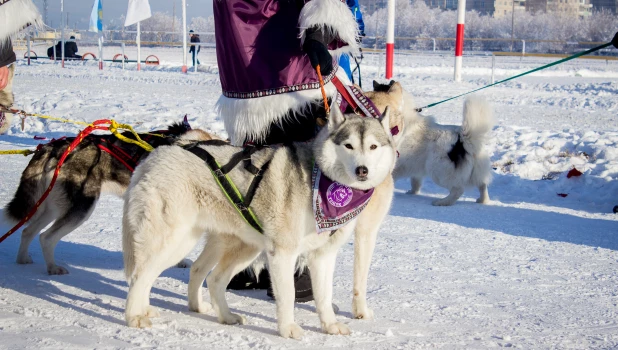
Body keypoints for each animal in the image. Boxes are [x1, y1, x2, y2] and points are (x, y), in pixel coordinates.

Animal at [3, 121, 215, 274]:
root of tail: (53, 147)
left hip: (52, 207)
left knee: (27, 231)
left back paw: (22, 259)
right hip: (81, 208)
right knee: (46, 237)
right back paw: (53, 268)